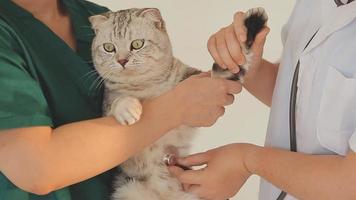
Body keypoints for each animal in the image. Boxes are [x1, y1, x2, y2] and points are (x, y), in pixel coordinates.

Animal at [89, 6, 268, 200]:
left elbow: (224, 67)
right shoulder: (106, 103)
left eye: (137, 44)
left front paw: (252, 22)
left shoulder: (210, 77)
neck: (145, 86)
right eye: (109, 48)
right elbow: (116, 101)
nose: (122, 60)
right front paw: (128, 108)